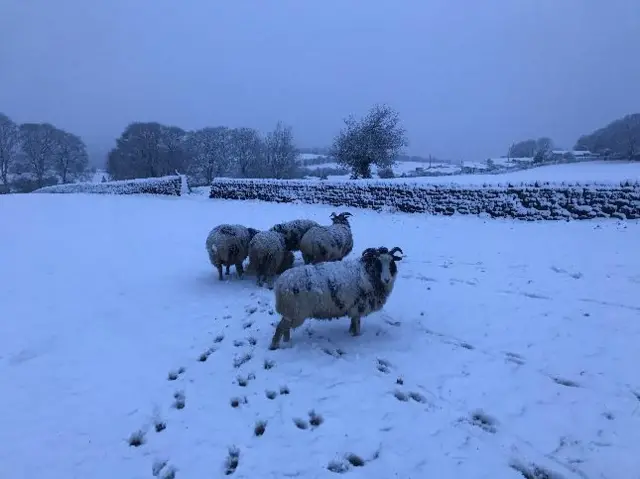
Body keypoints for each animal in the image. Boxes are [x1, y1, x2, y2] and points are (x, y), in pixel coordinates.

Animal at [268, 246, 402, 350]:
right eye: (378, 263)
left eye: (391, 262)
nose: (387, 279)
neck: (368, 273)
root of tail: (280, 284)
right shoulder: (359, 307)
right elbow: (357, 326)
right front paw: (357, 338)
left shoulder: (353, 309)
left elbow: (353, 323)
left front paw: (350, 333)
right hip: (296, 312)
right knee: (280, 328)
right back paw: (275, 346)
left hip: (290, 312)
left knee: (285, 328)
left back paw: (287, 342)